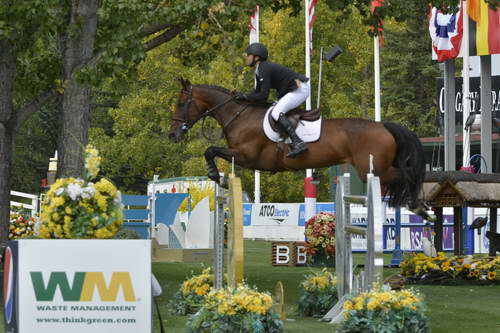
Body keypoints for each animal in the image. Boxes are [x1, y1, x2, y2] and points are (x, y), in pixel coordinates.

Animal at [169, 78, 426, 210]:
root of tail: (383, 126)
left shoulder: (246, 156)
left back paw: (419, 205)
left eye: (181, 103)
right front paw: (218, 176)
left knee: (408, 174)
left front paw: (215, 175)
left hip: (372, 170)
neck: (239, 115)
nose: (173, 134)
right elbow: (211, 150)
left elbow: (209, 149)